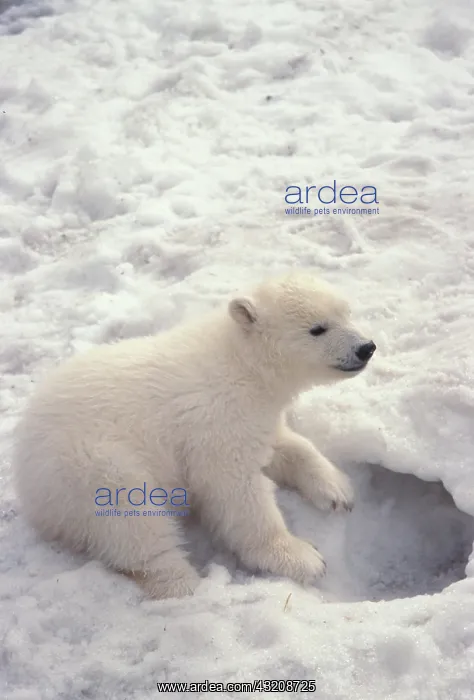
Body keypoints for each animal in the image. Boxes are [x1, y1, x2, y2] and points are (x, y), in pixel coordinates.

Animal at [13, 271, 376, 599]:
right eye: (317, 328)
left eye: (346, 312)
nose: (366, 347)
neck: (242, 363)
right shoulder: (215, 421)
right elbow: (235, 491)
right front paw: (303, 557)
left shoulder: (255, 414)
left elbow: (286, 445)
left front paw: (338, 489)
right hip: (91, 465)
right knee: (133, 519)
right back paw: (183, 583)